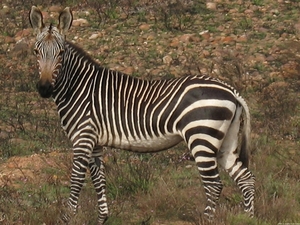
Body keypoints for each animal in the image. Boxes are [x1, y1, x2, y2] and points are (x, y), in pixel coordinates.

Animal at [29, 6, 255, 224]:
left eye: (61, 53)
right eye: (36, 51)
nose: (44, 89)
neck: (79, 87)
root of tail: (231, 90)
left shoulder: (83, 138)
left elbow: (76, 180)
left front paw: (67, 217)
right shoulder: (95, 142)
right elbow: (99, 179)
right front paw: (102, 218)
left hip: (202, 136)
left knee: (214, 184)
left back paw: (207, 219)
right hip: (225, 139)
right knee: (246, 178)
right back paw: (248, 217)